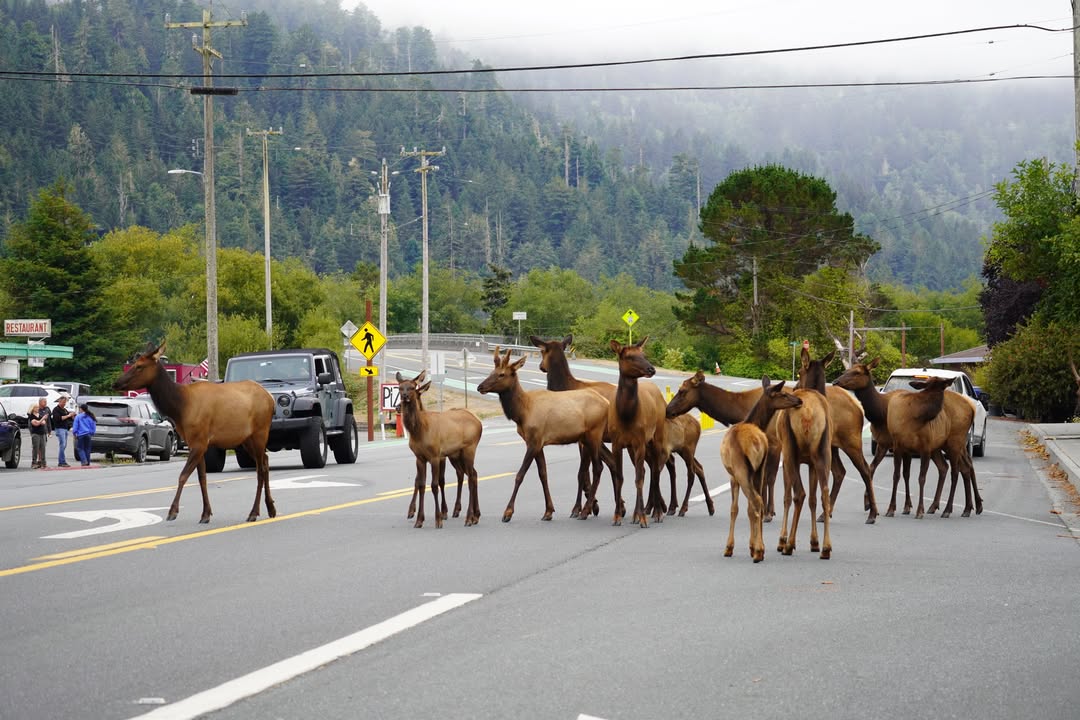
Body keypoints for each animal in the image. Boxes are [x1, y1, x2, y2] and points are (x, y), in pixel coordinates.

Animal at [113, 342, 275, 524]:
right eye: (133, 363)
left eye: (139, 366)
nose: (116, 383)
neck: (180, 408)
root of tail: (271, 399)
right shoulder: (194, 443)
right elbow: (201, 478)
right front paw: (205, 514)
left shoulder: (199, 442)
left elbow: (183, 475)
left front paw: (173, 511)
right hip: (247, 439)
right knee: (265, 462)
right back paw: (271, 508)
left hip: (260, 432)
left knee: (260, 469)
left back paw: (254, 512)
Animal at [396, 371, 483, 529]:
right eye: (399, 388)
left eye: (412, 387)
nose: (404, 398)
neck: (419, 430)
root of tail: (479, 422)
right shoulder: (419, 457)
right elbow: (421, 484)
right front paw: (419, 519)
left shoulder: (436, 455)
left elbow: (435, 484)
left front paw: (439, 518)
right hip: (457, 454)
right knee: (471, 474)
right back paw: (475, 515)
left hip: (470, 448)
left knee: (471, 477)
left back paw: (469, 518)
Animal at [476, 348, 609, 522]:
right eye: (492, 372)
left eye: (502, 374)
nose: (480, 387)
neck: (522, 412)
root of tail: (607, 403)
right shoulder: (536, 443)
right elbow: (543, 474)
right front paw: (548, 511)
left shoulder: (534, 441)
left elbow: (520, 475)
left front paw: (508, 512)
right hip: (586, 438)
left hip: (594, 434)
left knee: (598, 467)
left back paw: (585, 511)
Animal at [721, 376, 803, 562]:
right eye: (782, 393)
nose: (799, 400)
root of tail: (757, 443)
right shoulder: (757, 471)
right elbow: (749, 509)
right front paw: (753, 546)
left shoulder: (733, 476)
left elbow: (734, 509)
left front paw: (731, 547)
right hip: (757, 470)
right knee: (757, 501)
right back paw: (760, 548)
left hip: (742, 471)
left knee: (755, 500)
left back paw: (757, 551)